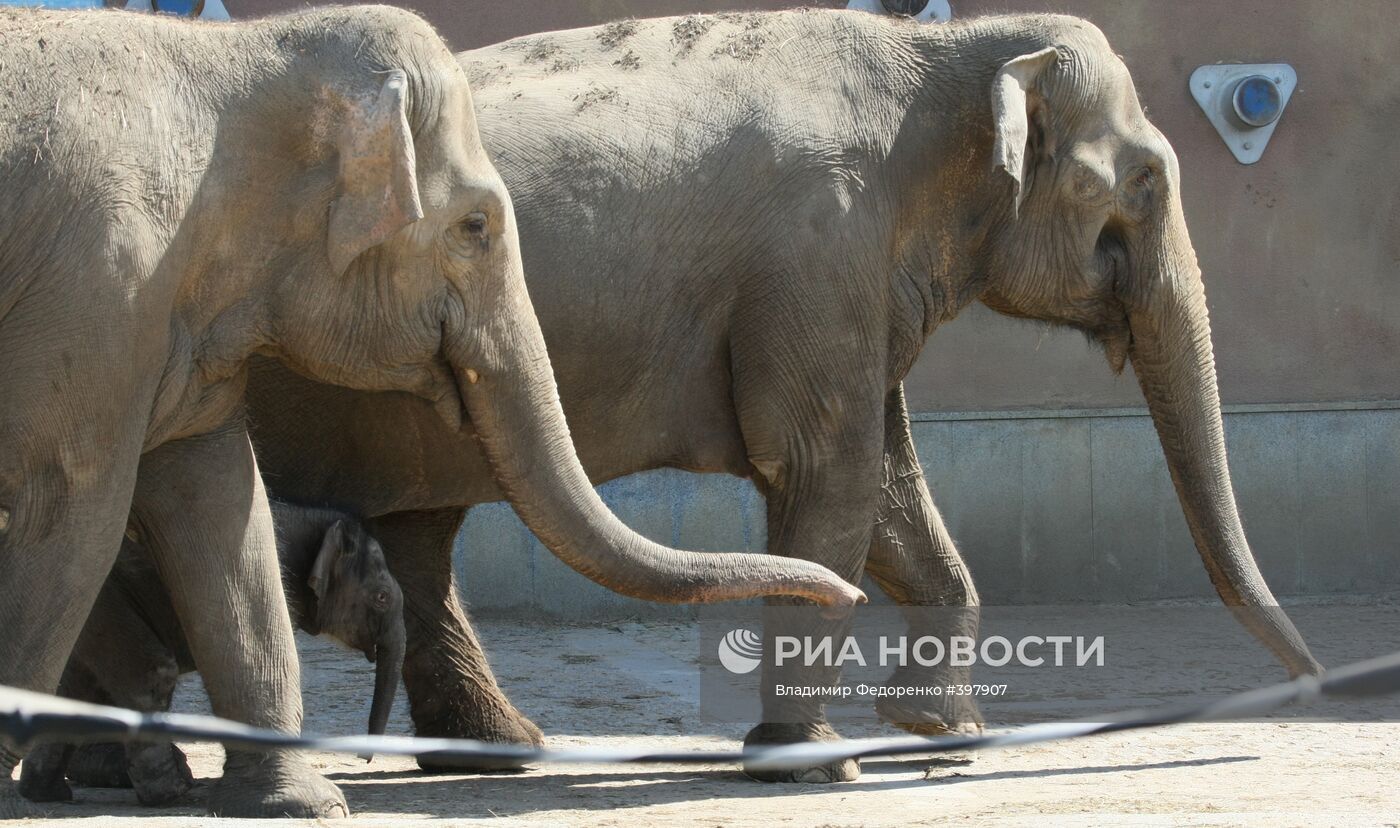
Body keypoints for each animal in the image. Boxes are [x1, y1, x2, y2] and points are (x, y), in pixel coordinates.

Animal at [19, 498, 403, 812]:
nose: (364, 759)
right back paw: (172, 791)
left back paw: (46, 793)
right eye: (381, 597)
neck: (315, 520)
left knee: (79, 682)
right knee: (151, 672)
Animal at [240, 6, 1321, 784]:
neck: (945, 50)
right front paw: (815, 764)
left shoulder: (855, 277)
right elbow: (826, 473)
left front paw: (939, 732)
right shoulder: (819, 254)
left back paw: (505, 752)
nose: (1308, 690)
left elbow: (886, 492)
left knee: (422, 535)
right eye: (1142, 184)